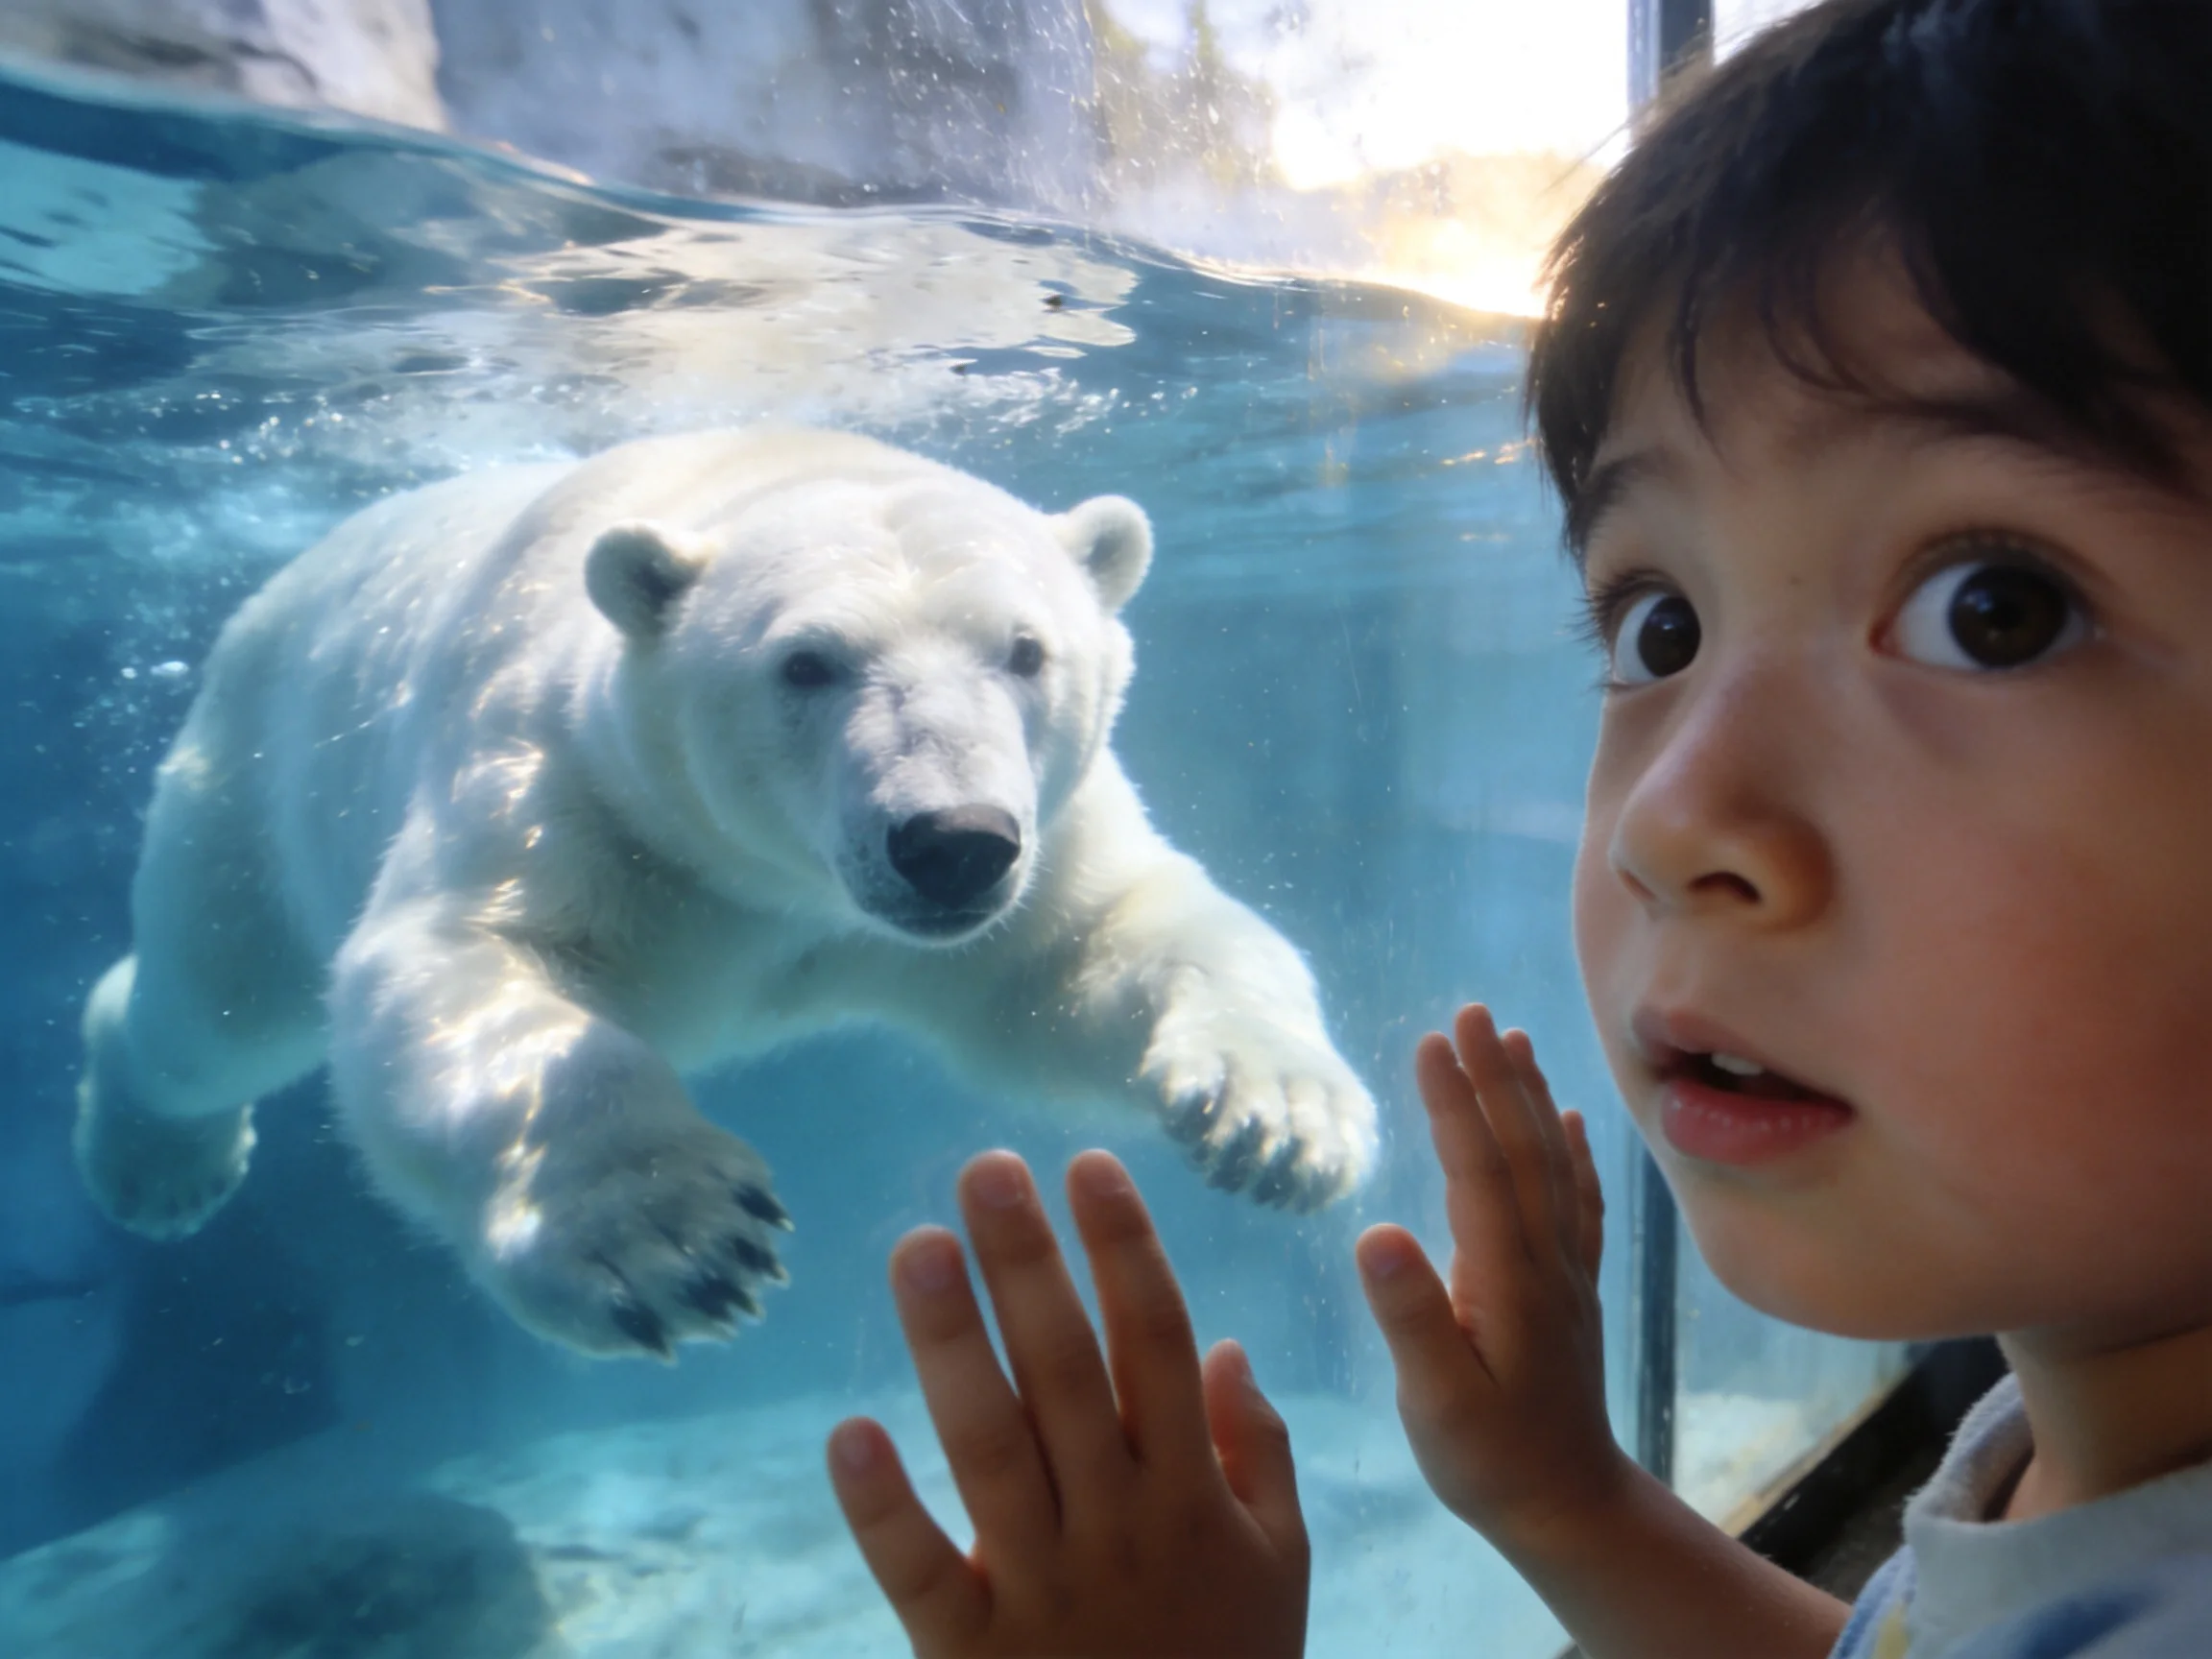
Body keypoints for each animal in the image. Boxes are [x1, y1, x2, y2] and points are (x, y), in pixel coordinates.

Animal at [74, 429, 1378, 1358]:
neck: (784, 891)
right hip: (255, 780)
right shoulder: (568, 785)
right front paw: (675, 1242)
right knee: (212, 1007)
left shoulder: (1038, 851)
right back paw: (160, 1163)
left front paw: (1279, 1116)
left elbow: (1103, 947)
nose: (951, 843)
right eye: (805, 663)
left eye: (1024, 651)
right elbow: (464, 967)